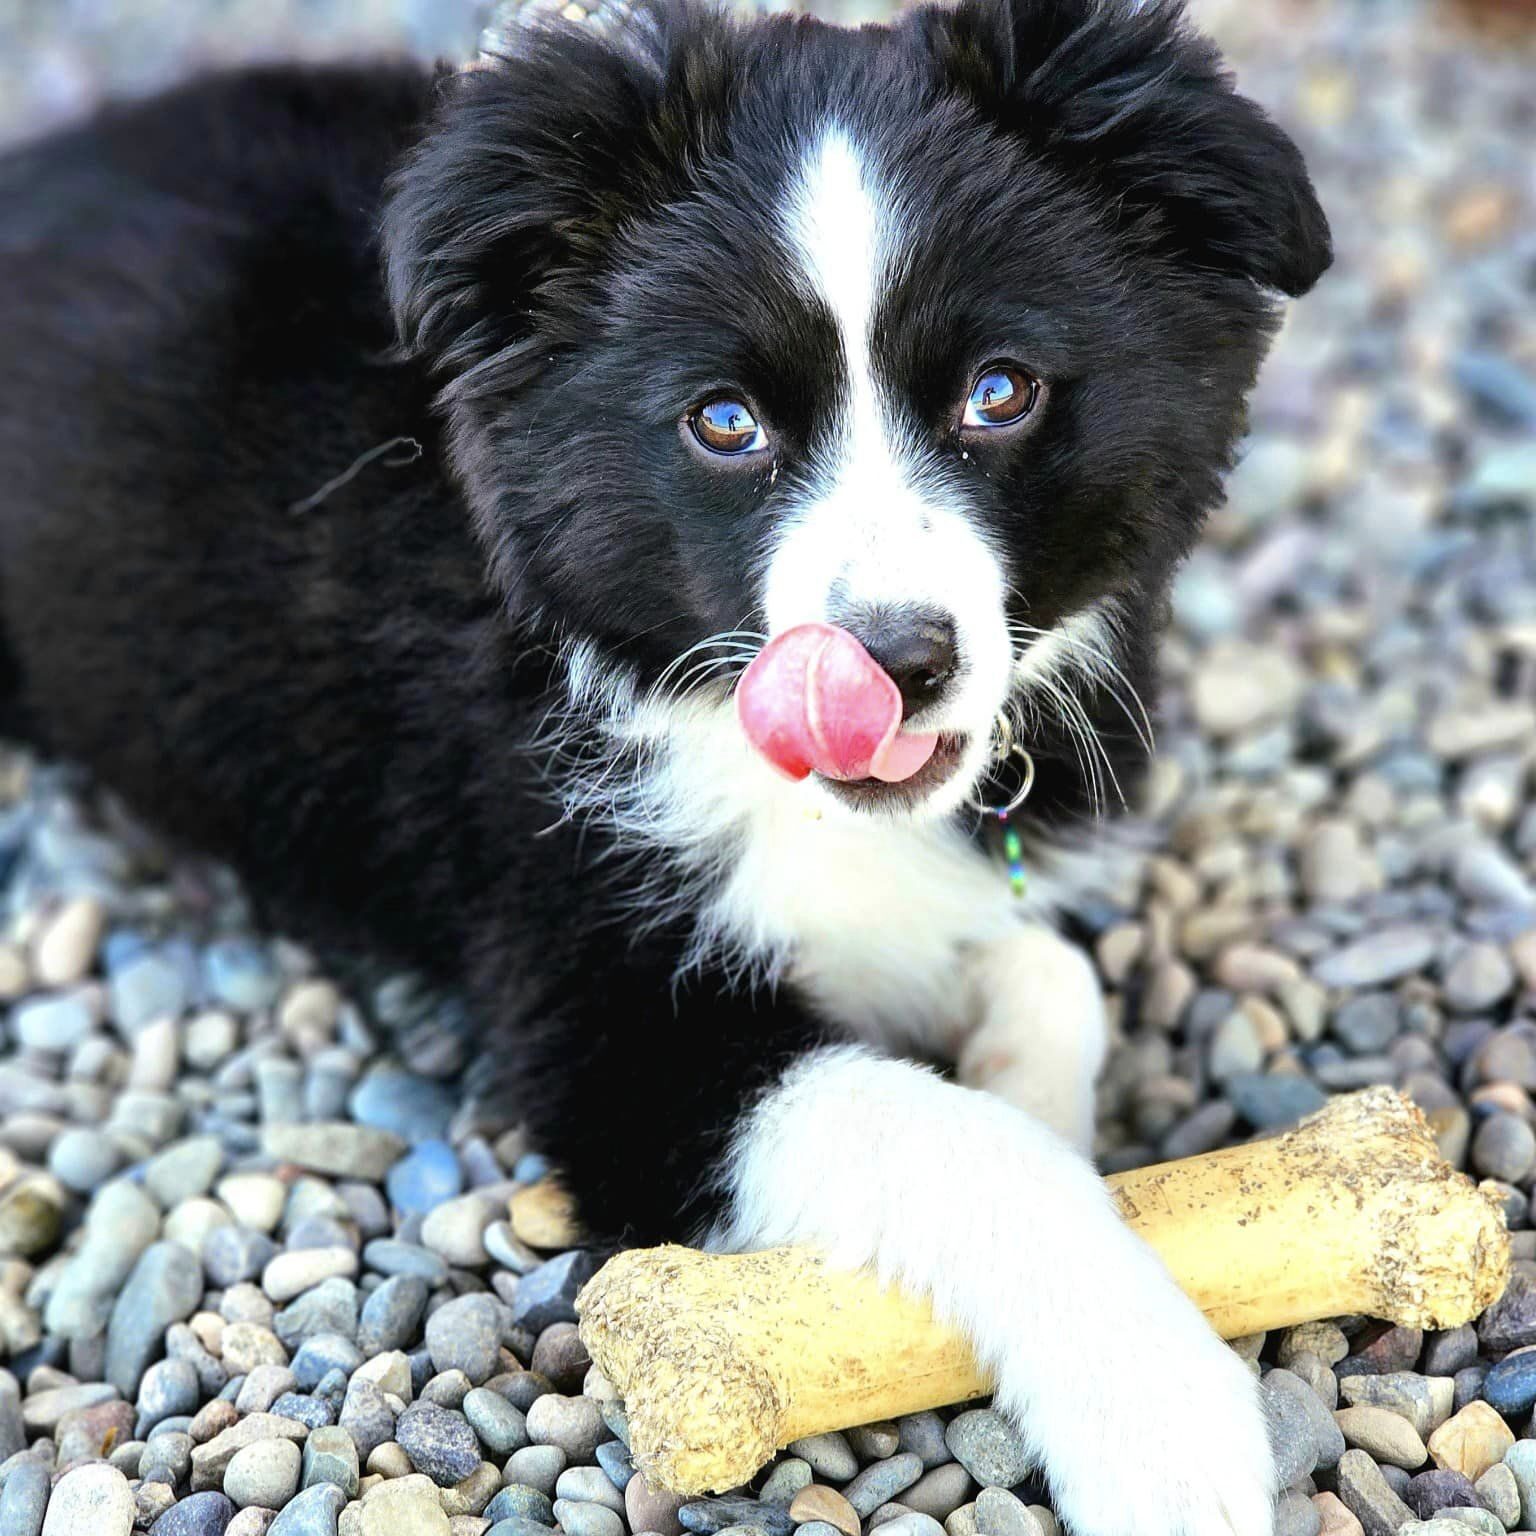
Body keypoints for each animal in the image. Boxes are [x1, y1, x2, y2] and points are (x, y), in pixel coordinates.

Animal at [0, 3, 1327, 1523]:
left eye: (1002, 393)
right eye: (725, 422)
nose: (896, 663)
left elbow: (1049, 975)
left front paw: (1026, 1082)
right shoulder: (611, 1018)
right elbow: (943, 1138)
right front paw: (1162, 1424)